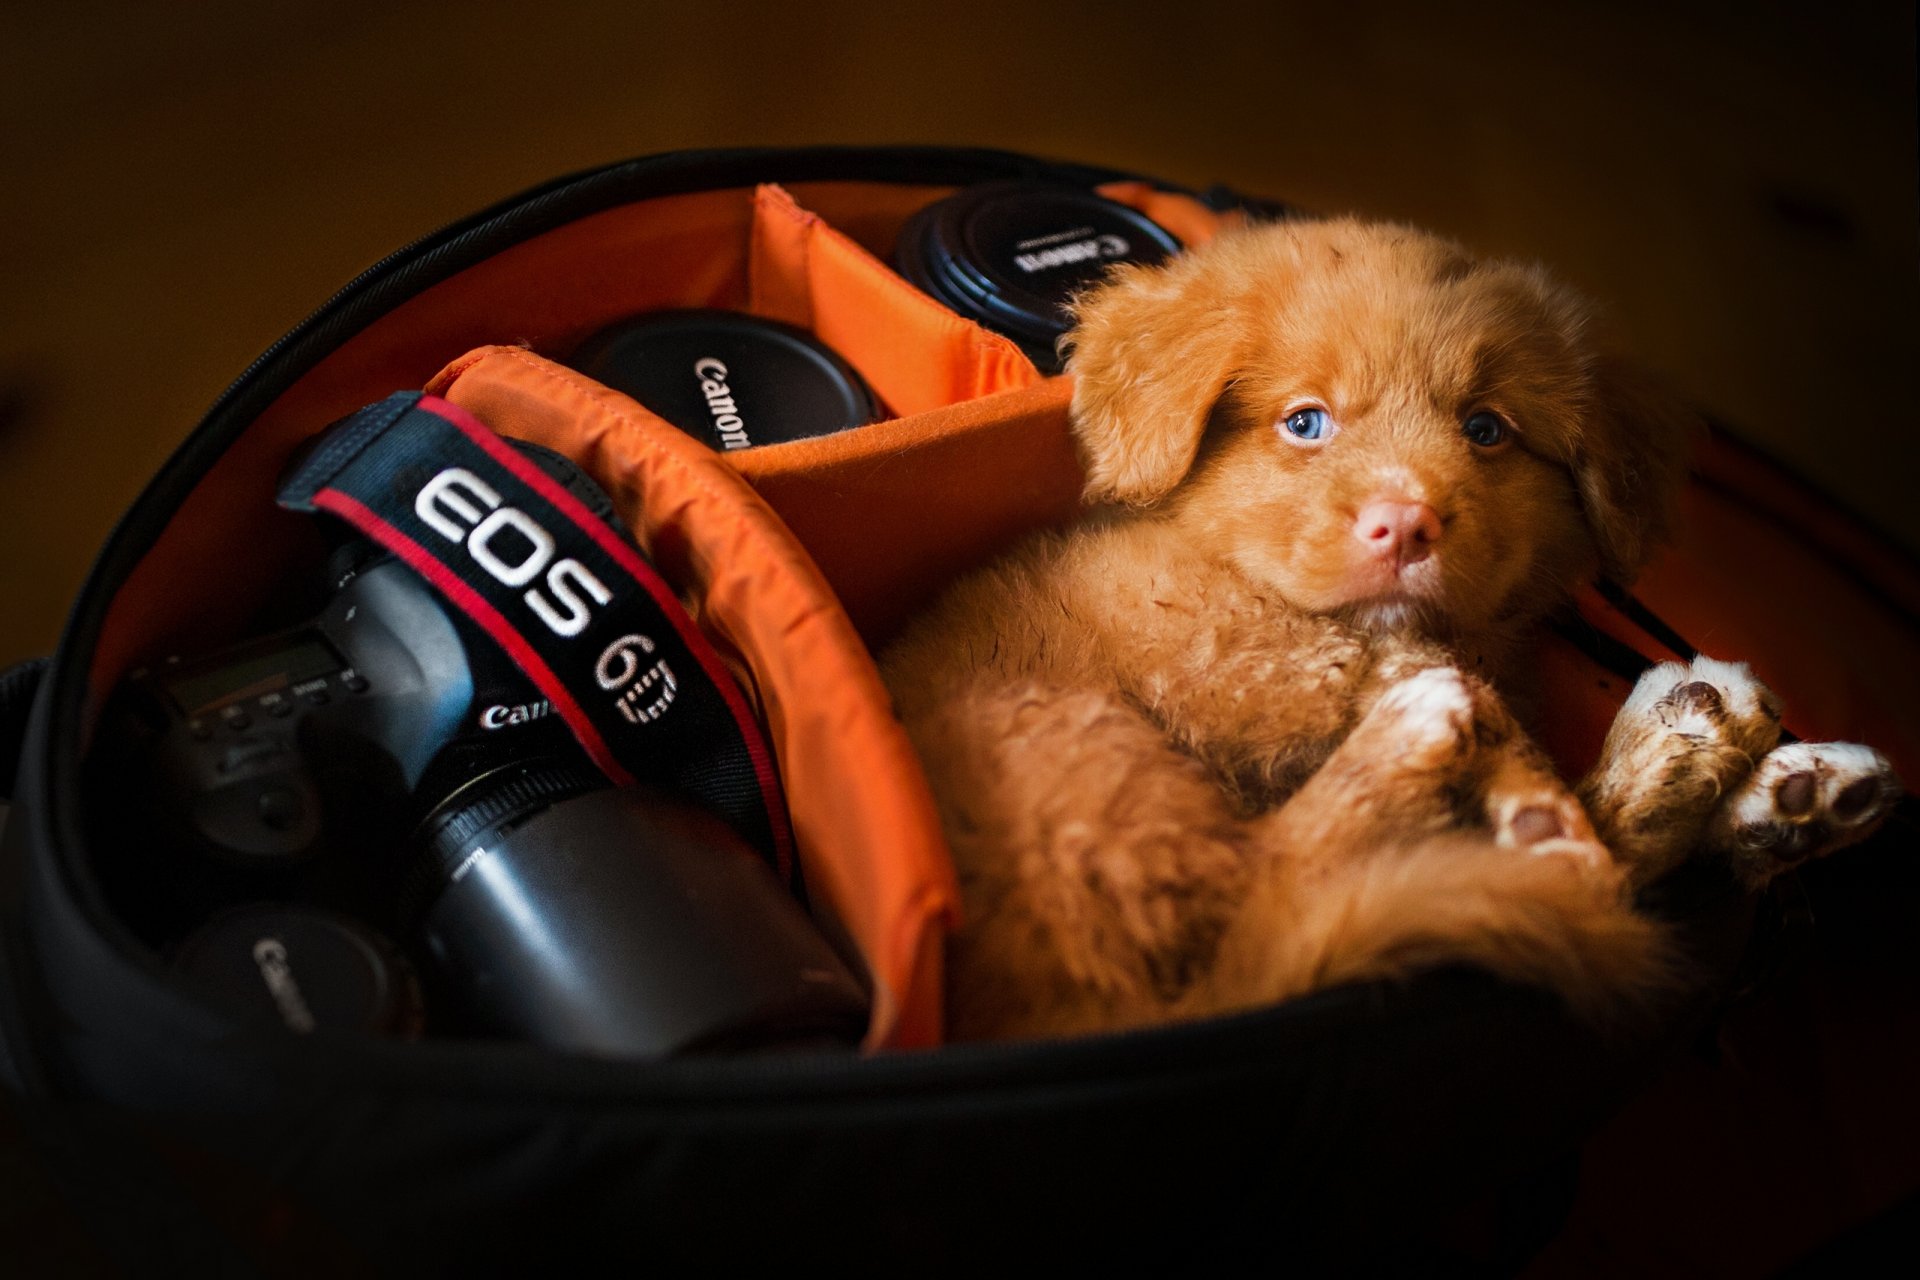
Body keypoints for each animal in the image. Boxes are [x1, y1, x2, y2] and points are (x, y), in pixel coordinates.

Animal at [879, 214, 1896, 1043]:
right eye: (1306, 422)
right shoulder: (1219, 643)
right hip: (1076, 760)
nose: (1405, 526)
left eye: (1486, 430)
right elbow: (1412, 668)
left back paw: (1757, 791)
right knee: (1269, 922)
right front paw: (1523, 779)